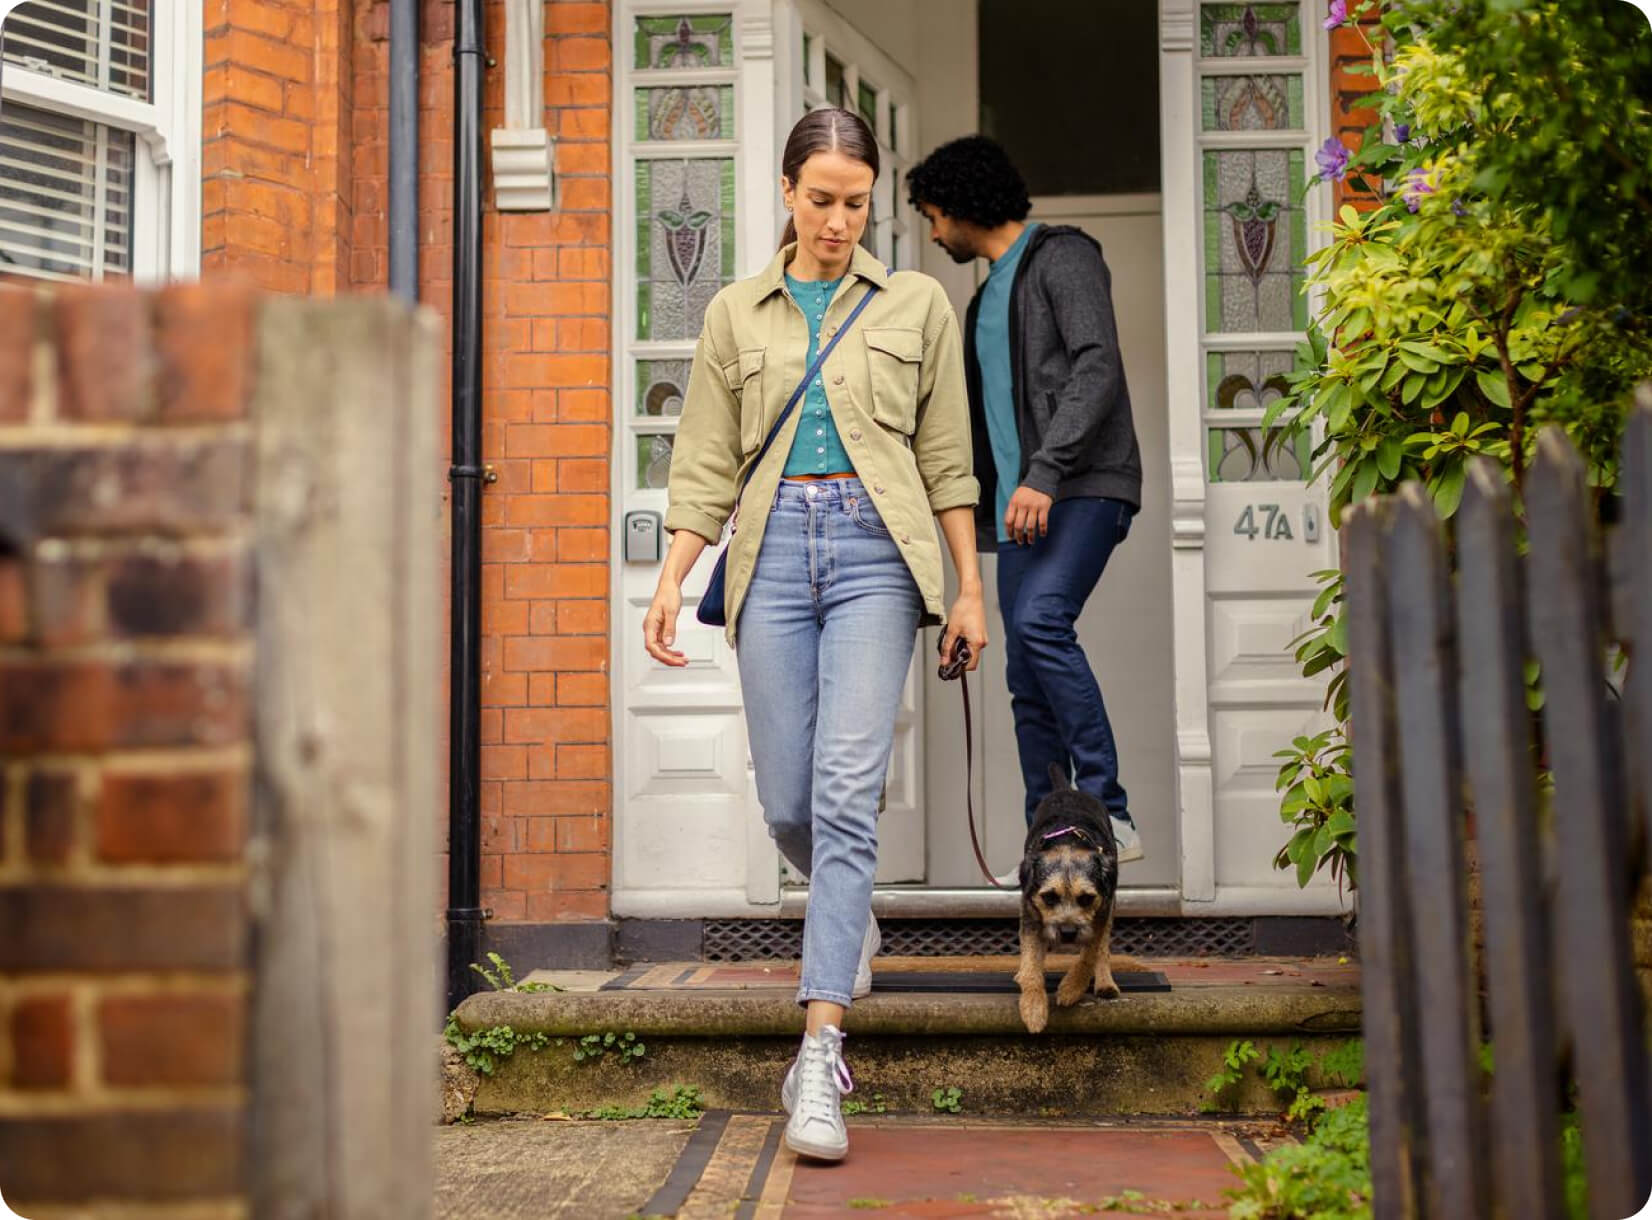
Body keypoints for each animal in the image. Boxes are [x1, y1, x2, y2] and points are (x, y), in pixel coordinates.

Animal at [1004, 760, 1123, 1024]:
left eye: (1087, 898)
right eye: (1049, 897)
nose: (1068, 932)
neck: (1068, 843)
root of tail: (1067, 790)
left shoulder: (1101, 910)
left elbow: (1090, 953)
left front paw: (1072, 988)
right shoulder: (1030, 913)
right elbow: (1031, 961)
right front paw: (1033, 1006)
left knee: (1102, 948)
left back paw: (1105, 983)